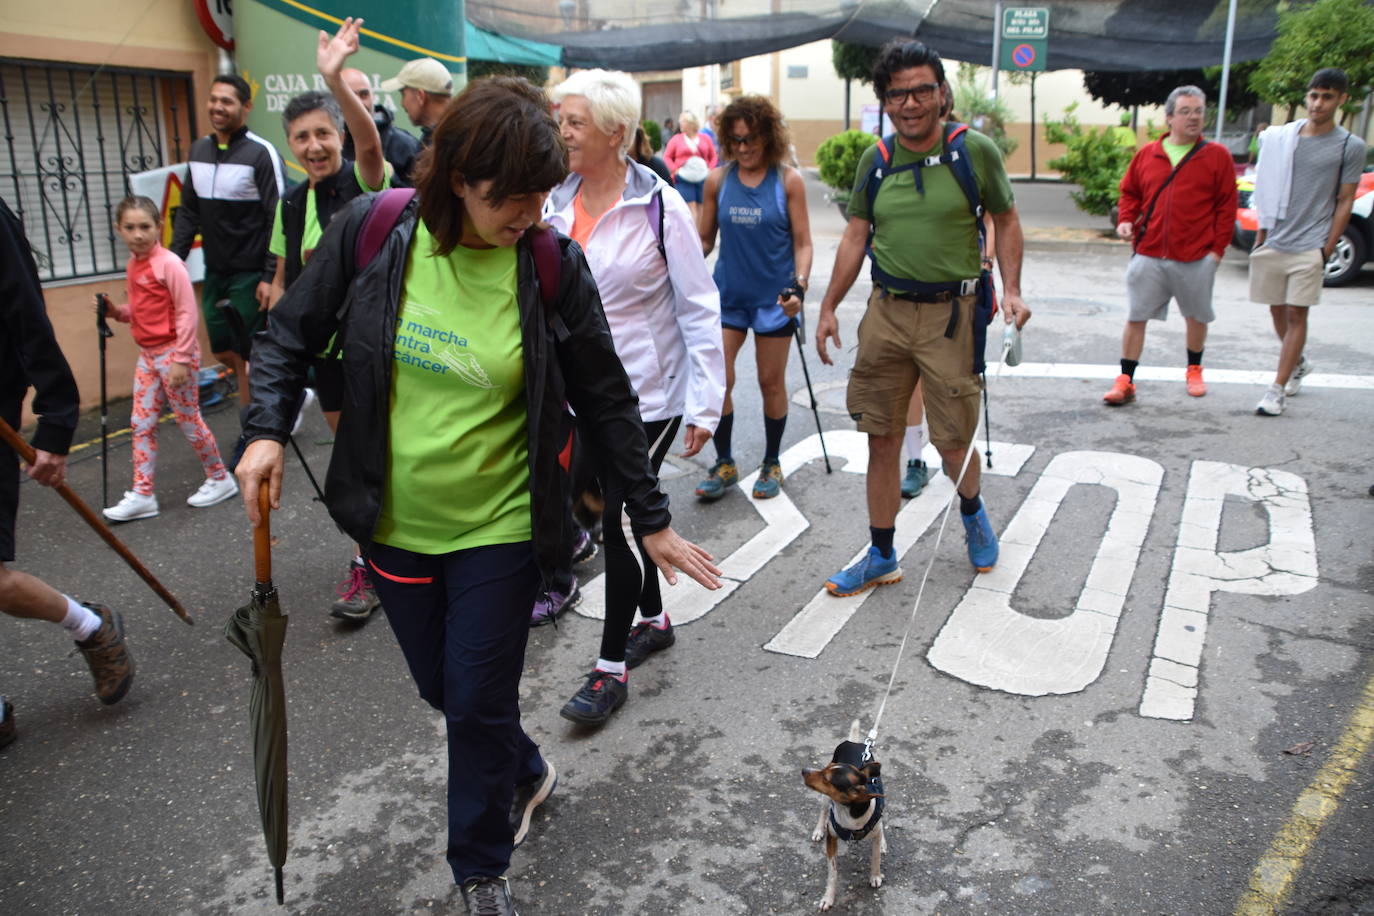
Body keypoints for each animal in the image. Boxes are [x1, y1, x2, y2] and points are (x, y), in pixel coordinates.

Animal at [802, 725, 884, 911]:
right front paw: (828, 897)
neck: (849, 813)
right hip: (825, 799)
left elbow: (876, 857)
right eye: (825, 768)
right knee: (823, 811)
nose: (803, 770)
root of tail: (853, 742)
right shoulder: (832, 838)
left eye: (827, 779)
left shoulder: (875, 831)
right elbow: (833, 873)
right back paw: (818, 830)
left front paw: (875, 876)